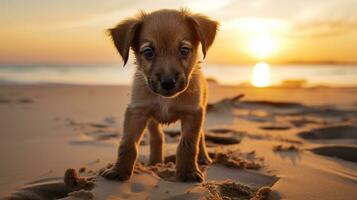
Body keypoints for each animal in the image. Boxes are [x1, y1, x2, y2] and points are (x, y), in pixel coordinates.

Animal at [100, 8, 217, 182]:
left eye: (184, 50)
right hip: (151, 118)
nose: (168, 83)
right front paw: (119, 170)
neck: (165, 100)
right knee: (157, 136)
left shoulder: (193, 113)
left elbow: (188, 144)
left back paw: (203, 157)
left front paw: (188, 171)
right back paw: (155, 161)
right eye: (148, 52)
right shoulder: (137, 112)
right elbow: (127, 144)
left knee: (200, 136)